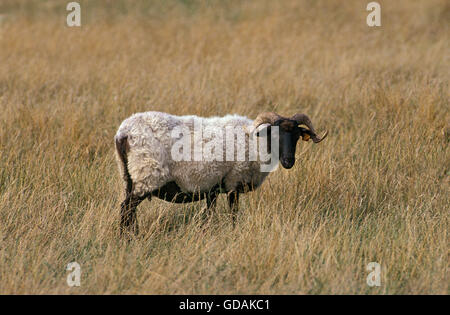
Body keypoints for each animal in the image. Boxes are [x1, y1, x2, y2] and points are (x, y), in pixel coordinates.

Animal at [114, 111, 326, 235]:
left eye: (297, 136)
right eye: (274, 134)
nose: (289, 162)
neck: (255, 143)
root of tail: (123, 133)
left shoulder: (213, 188)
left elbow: (209, 214)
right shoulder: (233, 182)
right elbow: (233, 213)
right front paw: (232, 233)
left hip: (128, 176)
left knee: (128, 210)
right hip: (147, 174)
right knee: (126, 208)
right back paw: (128, 239)